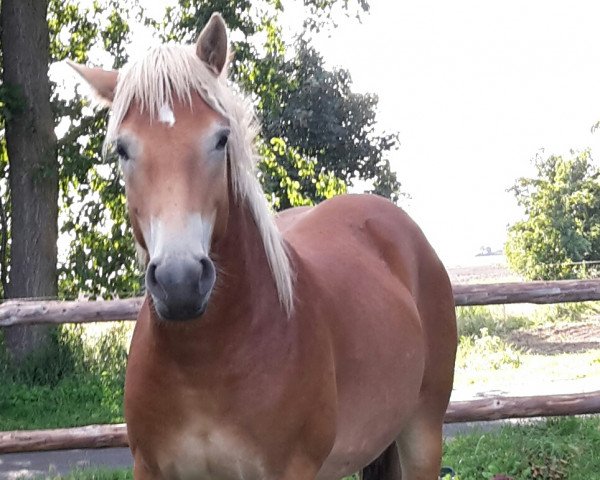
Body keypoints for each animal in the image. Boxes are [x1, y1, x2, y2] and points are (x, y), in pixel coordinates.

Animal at [69, 12, 454, 480]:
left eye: (220, 139)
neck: (204, 363)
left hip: (422, 434)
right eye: (123, 149)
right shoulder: (150, 468)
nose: (180, 282)